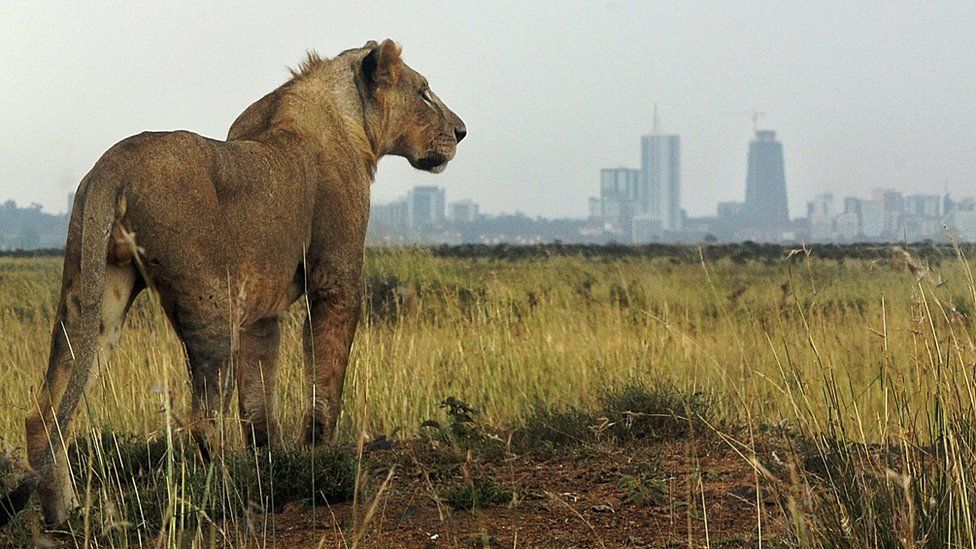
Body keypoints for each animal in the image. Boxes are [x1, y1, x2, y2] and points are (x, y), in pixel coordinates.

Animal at [5, 38, 466, 528]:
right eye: (424, 93)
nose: (461, 132)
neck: (347, 115)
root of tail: (113, 164)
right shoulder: (336, 280)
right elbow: (325, 381)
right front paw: (319, 461)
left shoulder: (260, 312)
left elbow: (258, 401)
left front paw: (274, 467)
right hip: (211, 303)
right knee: (201, 420)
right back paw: (230, 497)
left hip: (94, 295)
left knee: (45, 412)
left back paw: (67, 516)